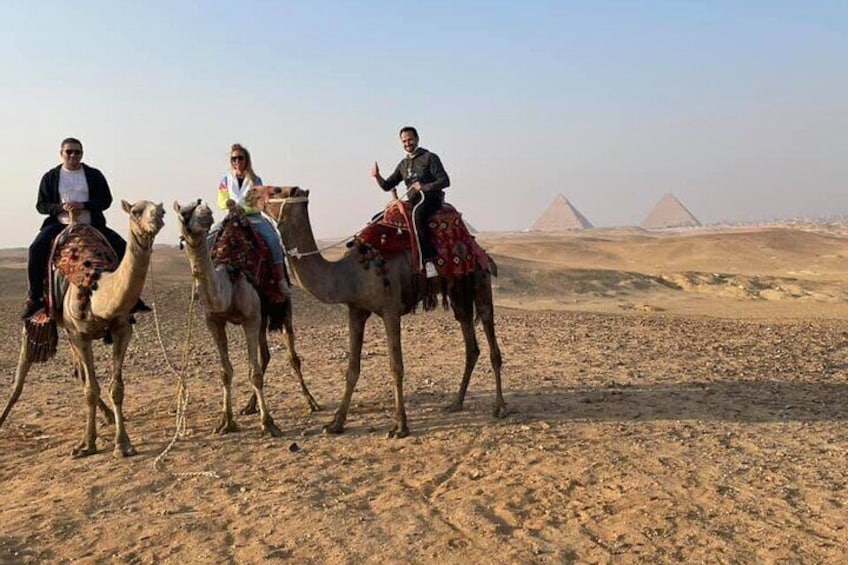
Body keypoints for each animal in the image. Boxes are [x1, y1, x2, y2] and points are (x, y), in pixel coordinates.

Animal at [0, 200, 166, 456]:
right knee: (21, 377)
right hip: (42, 324)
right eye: (136, 211)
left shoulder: (121, 329)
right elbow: (90, 389)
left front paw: (123, 444)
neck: (96, 284)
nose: (157, 218)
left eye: (161, 209)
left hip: (69, 334)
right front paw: (86, 445)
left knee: (79, 371)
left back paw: (107, 416)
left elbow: (116, 388)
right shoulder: (80, 334)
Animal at [174, 198, 320, 436]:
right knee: (265, 355)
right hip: (262, 316)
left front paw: (268, 423)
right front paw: (226, 421)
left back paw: (311, 402)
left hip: (283, 308)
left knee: (292, 357)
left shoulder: (250, 318)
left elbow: (254, 373)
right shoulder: (214, 321)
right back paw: (250, 406)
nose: (206, 214)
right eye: (185, 213)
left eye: (200, 205)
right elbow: (226, 372)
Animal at [264, 185, 504, 436]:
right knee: (469, 341)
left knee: (489, 332)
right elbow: (352, 368)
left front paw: (400, 426)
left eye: (277, 190)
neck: (350, 272)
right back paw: (456, 402)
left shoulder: (390, 310)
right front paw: (336, 423)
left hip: (480, 279)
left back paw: (499, 407)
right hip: (458, 290)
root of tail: (477, 246)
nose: (254, 194)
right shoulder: (356, 311)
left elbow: (396, 367)